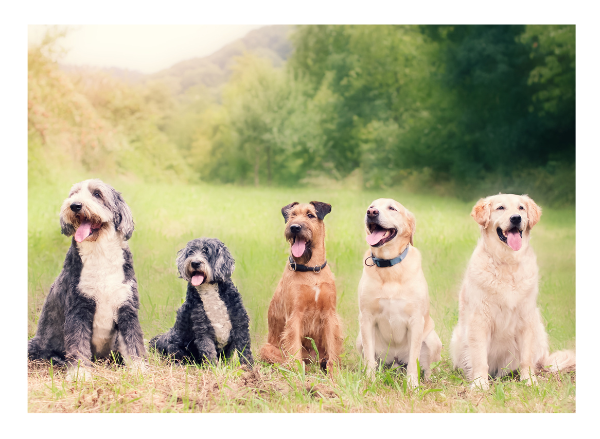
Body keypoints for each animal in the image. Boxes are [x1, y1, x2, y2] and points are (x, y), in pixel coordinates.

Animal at [28, 180, 148, 382]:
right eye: (73, 194)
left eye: (97, 194)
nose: (75, 205)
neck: (100, 253)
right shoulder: (78, 308)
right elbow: (78, 345)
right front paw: (80, 374)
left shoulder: (126, 307)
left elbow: (134, 342)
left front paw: (139, 369)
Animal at [258, 202, 342, 372]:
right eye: (292, 215)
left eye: (310, 215)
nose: (294, 227)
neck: (311, 270)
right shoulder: (295, 315)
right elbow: (294, 349)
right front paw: (298, 373)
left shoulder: (330, 314)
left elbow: (332, 350)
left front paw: (335, 373)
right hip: (266, 348)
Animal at [356, 199, 440, 388]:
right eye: (371, 206)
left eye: (392, 208)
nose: (371, 212)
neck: (389, 266)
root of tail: (395, 361)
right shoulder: (366, 318)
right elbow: (369, 358)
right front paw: (370, 381)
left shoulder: (416, 320)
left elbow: (413, 361)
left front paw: (412, 385)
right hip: (359, 339)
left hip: (432, 339)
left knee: (428, 367)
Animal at [450, 194, 576, 390]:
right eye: (500, 208)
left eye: (521, 208)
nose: (516, 218)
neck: (507, 262)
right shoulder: (479, 319)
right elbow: (479, 357)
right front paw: (480, 383)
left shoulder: (526, 318)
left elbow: (526, 358)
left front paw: (529, 380)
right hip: (457, 337)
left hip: (539, 331)